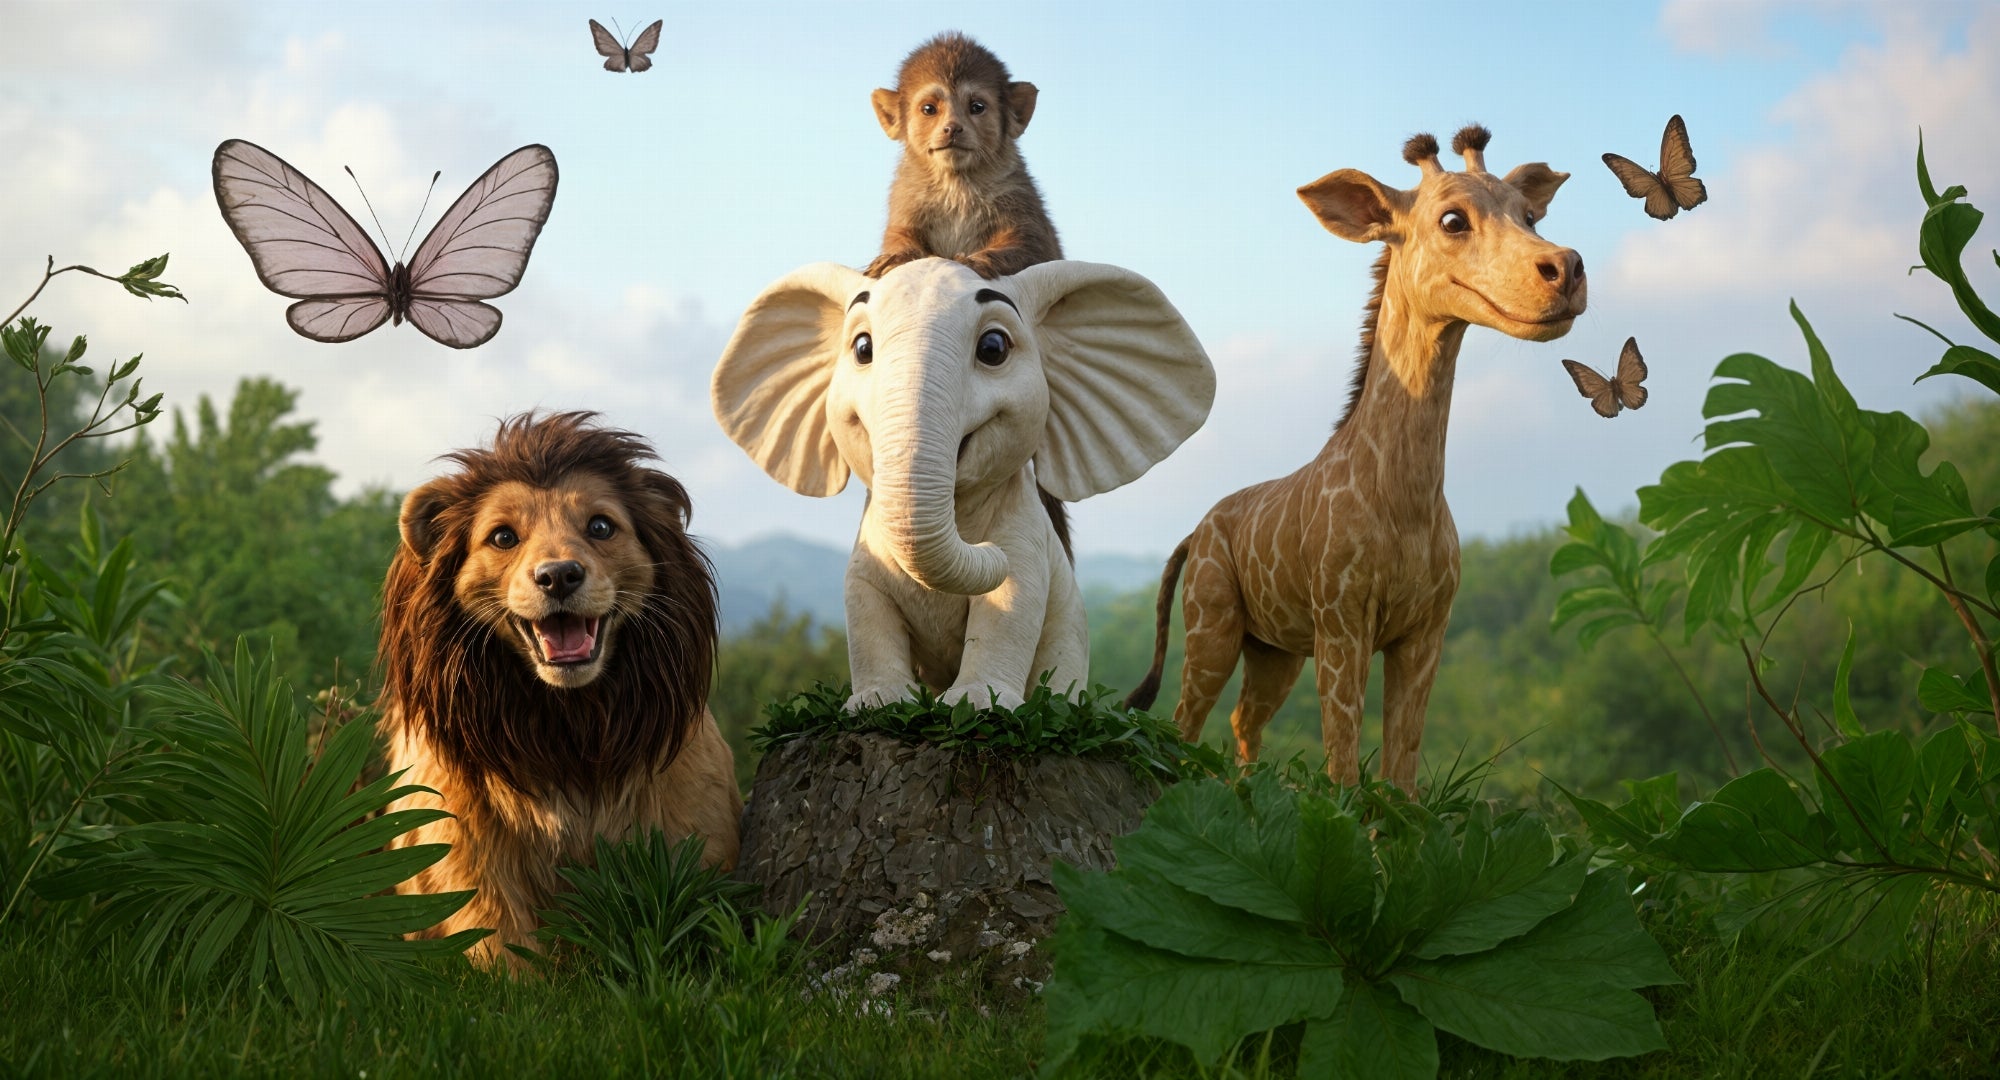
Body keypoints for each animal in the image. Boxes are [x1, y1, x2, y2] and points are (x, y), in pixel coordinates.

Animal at [378, 411, 741, 964]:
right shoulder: (466, 853)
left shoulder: (696, 826)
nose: (559, 576)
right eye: (503, 537)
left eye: (600, 526)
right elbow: (500, 946)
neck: (569, 724)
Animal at [712, 257, 1214, 711]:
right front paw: (879, 703)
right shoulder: (866, 552)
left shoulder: (1027, 540)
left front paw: (978, 704)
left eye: (993, 347)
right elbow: (864, 604)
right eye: (861, 348)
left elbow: (1010, 604)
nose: (989, 550)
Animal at [1126, 126, 1586, 788]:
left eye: (1529, 215)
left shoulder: (1425, 630)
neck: (1408, 501)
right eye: (1452, 220)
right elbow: (1342, 768)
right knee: (1183, 721)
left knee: (1242, 719)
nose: (1567, 270)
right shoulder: (1343, 621)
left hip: (1274, 647)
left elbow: (1401, 770)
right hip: (1213, 621)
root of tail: (1195, 532)